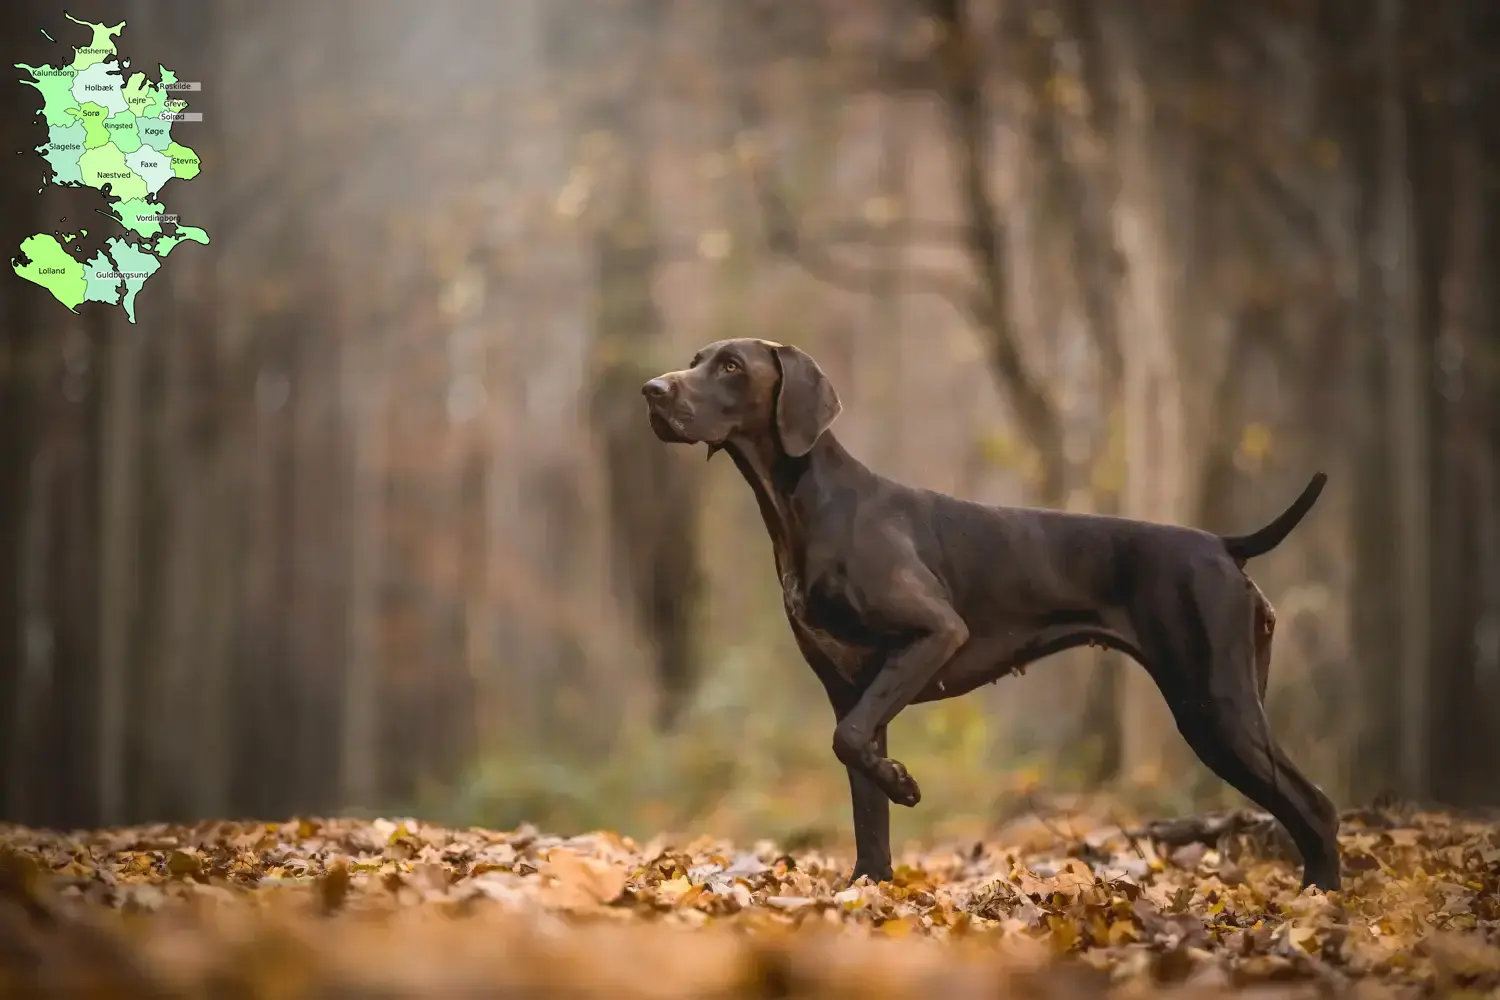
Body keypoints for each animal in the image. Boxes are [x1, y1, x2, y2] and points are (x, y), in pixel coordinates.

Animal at [639, 338, 1344, 893]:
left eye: (731, 365)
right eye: (696, 360)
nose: (651, 390)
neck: (806, 506)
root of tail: (1225, 545)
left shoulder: (934, 634)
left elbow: (851, 745)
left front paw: (902, 784)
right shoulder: (850, 688)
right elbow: (863, 795)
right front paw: (869, 888)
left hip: (1215, 707)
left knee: (1316, 805)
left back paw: (1320, 902)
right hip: (1233, 702)